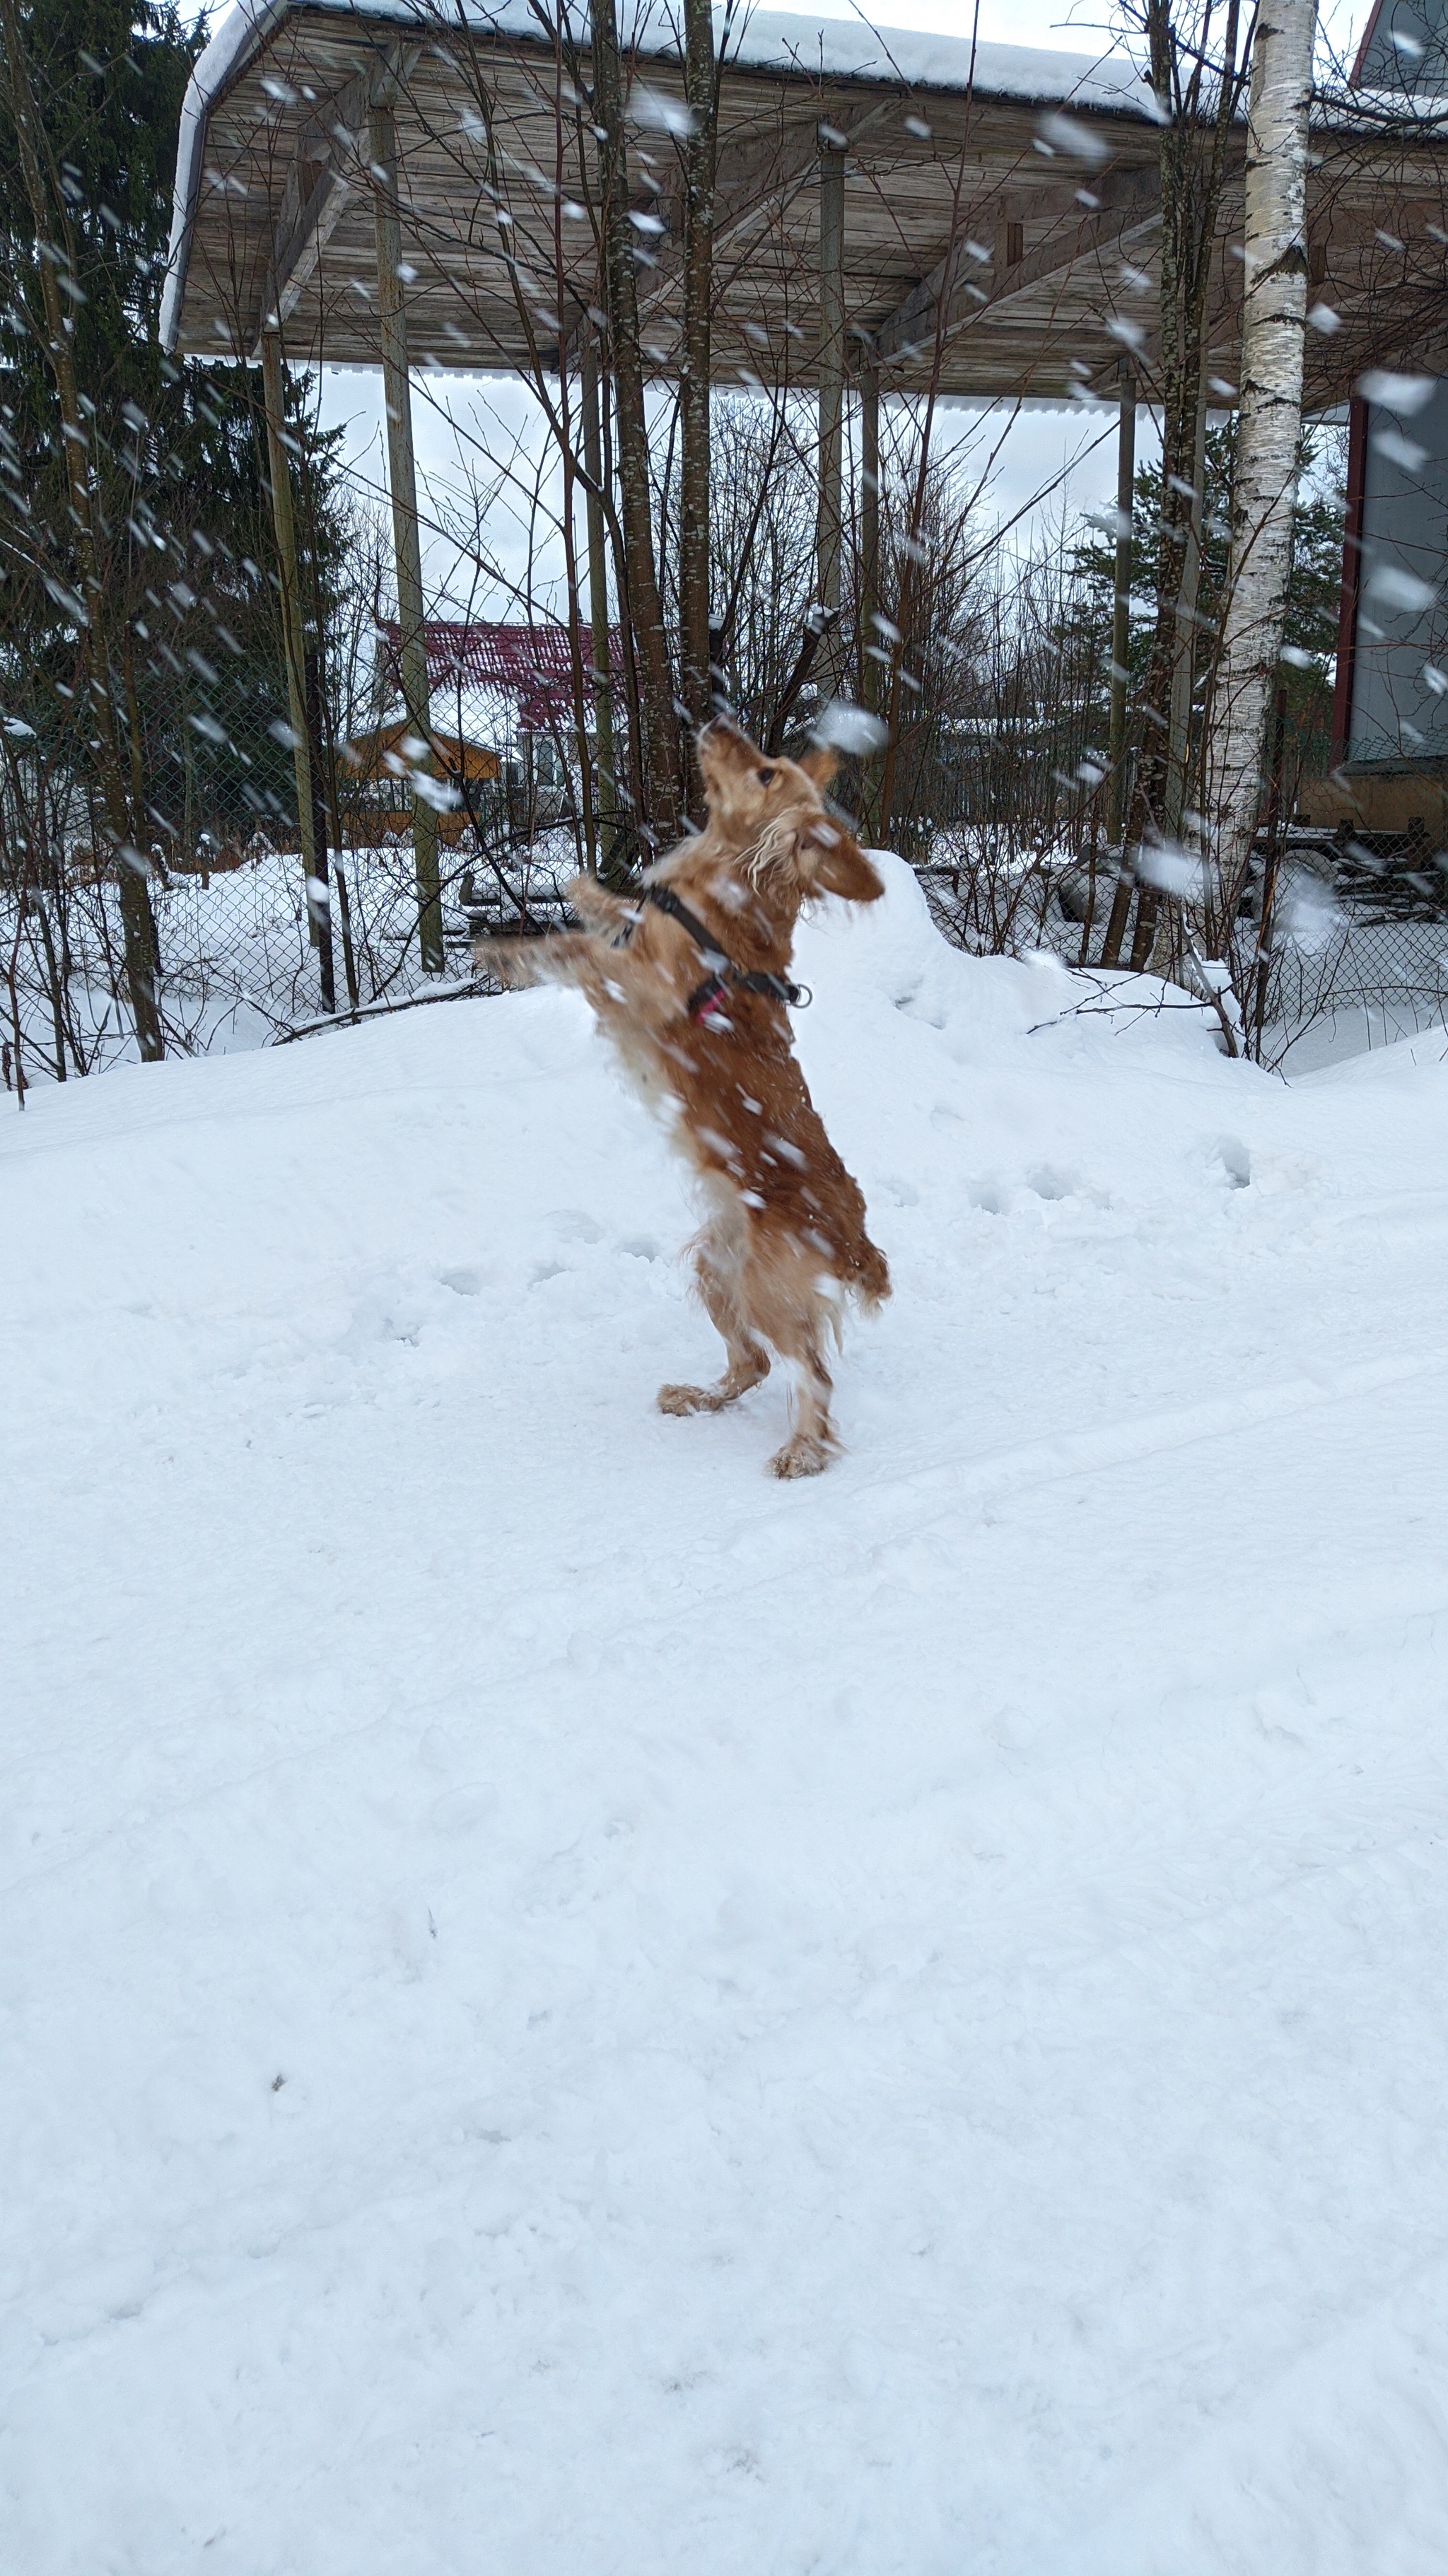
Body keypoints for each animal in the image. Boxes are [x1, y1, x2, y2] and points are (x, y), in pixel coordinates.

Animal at [486, 716, 891, 1483]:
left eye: (766, 773)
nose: (718, 721)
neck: (719, 892)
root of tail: (856, 1240)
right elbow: (609, 914)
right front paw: (583, 886)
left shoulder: (645, 988)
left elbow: (580, 951)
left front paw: (509, 951)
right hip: (715, 1269)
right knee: (753, 1362)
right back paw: (696, 1396)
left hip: (766, 1285)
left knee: (811, 1373)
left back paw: (800, 1450)